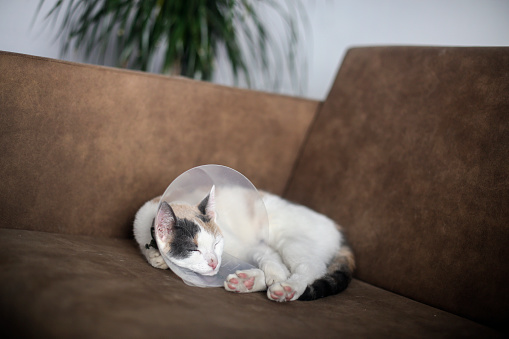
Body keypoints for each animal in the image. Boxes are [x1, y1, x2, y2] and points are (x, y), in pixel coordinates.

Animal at [132, 186, 354, 302]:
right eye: (194, 249)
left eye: (216, 243)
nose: (214, 261)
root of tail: (337, 228)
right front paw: (157, 258)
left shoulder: (250, 246)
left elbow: (270, 260)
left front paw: (275, 275)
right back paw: (245, 282)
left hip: (292, 243)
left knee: (310, 268)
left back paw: (287, 288)